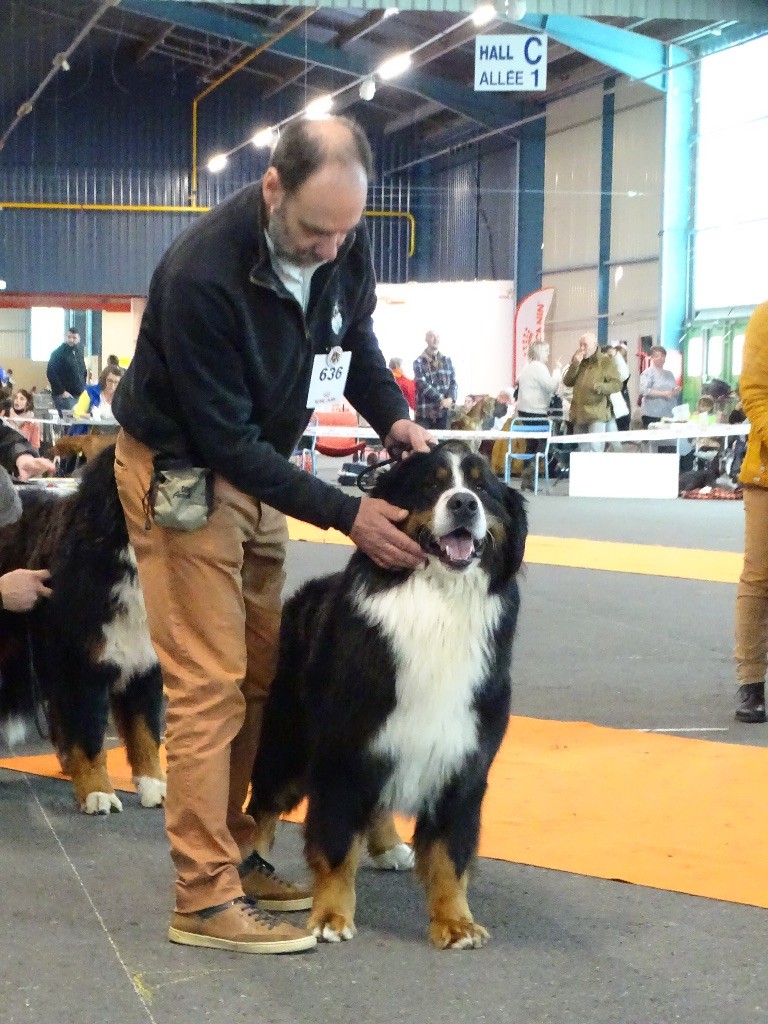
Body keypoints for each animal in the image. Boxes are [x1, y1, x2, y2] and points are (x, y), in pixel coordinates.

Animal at [0, 448, 166, 815]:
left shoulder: (145, 663)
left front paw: (154, 785)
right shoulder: (79, 665)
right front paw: (98, 791)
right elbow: (89, 734)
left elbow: (146, 732)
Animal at [249, 440, 528, 950]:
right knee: (262, 803)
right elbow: (336, 842)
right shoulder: (343, 750)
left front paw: (455, 921)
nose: (464, 504)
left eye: (482, 488)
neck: (439, 604)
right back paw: (252, 863)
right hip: (290, 738)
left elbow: (451, 855)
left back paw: (387, 844)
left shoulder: (464, 759)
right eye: (433, 486)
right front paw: (331, 915)